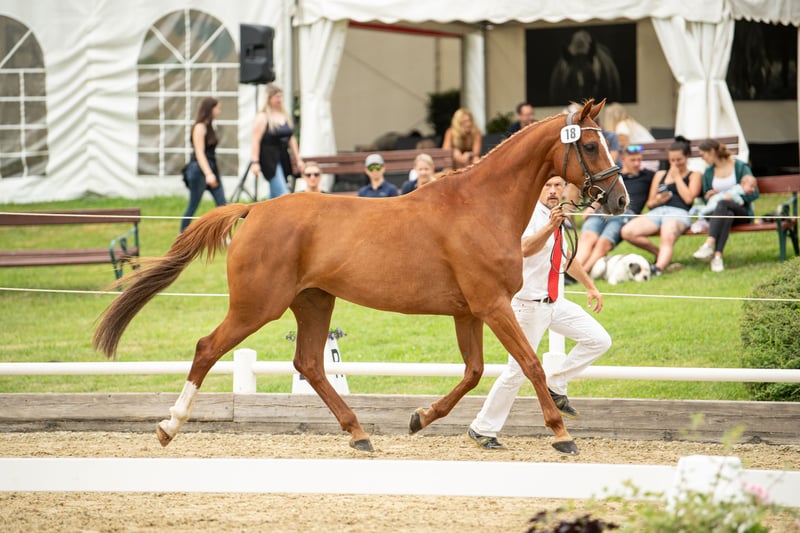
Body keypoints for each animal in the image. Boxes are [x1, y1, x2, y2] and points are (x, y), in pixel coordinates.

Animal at [93, 99, 628, 455]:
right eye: (593, 145)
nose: (620, 198)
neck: (480, 206)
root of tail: (255, 209)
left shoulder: (470, 312)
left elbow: (474, 372)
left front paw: (419, 419)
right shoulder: (493, 305)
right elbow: (531, 366)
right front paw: (562, 434)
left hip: (313, 301)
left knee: (309, 363)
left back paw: (359, 433)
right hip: (257, 306)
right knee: (209, 348)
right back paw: (169, 426)